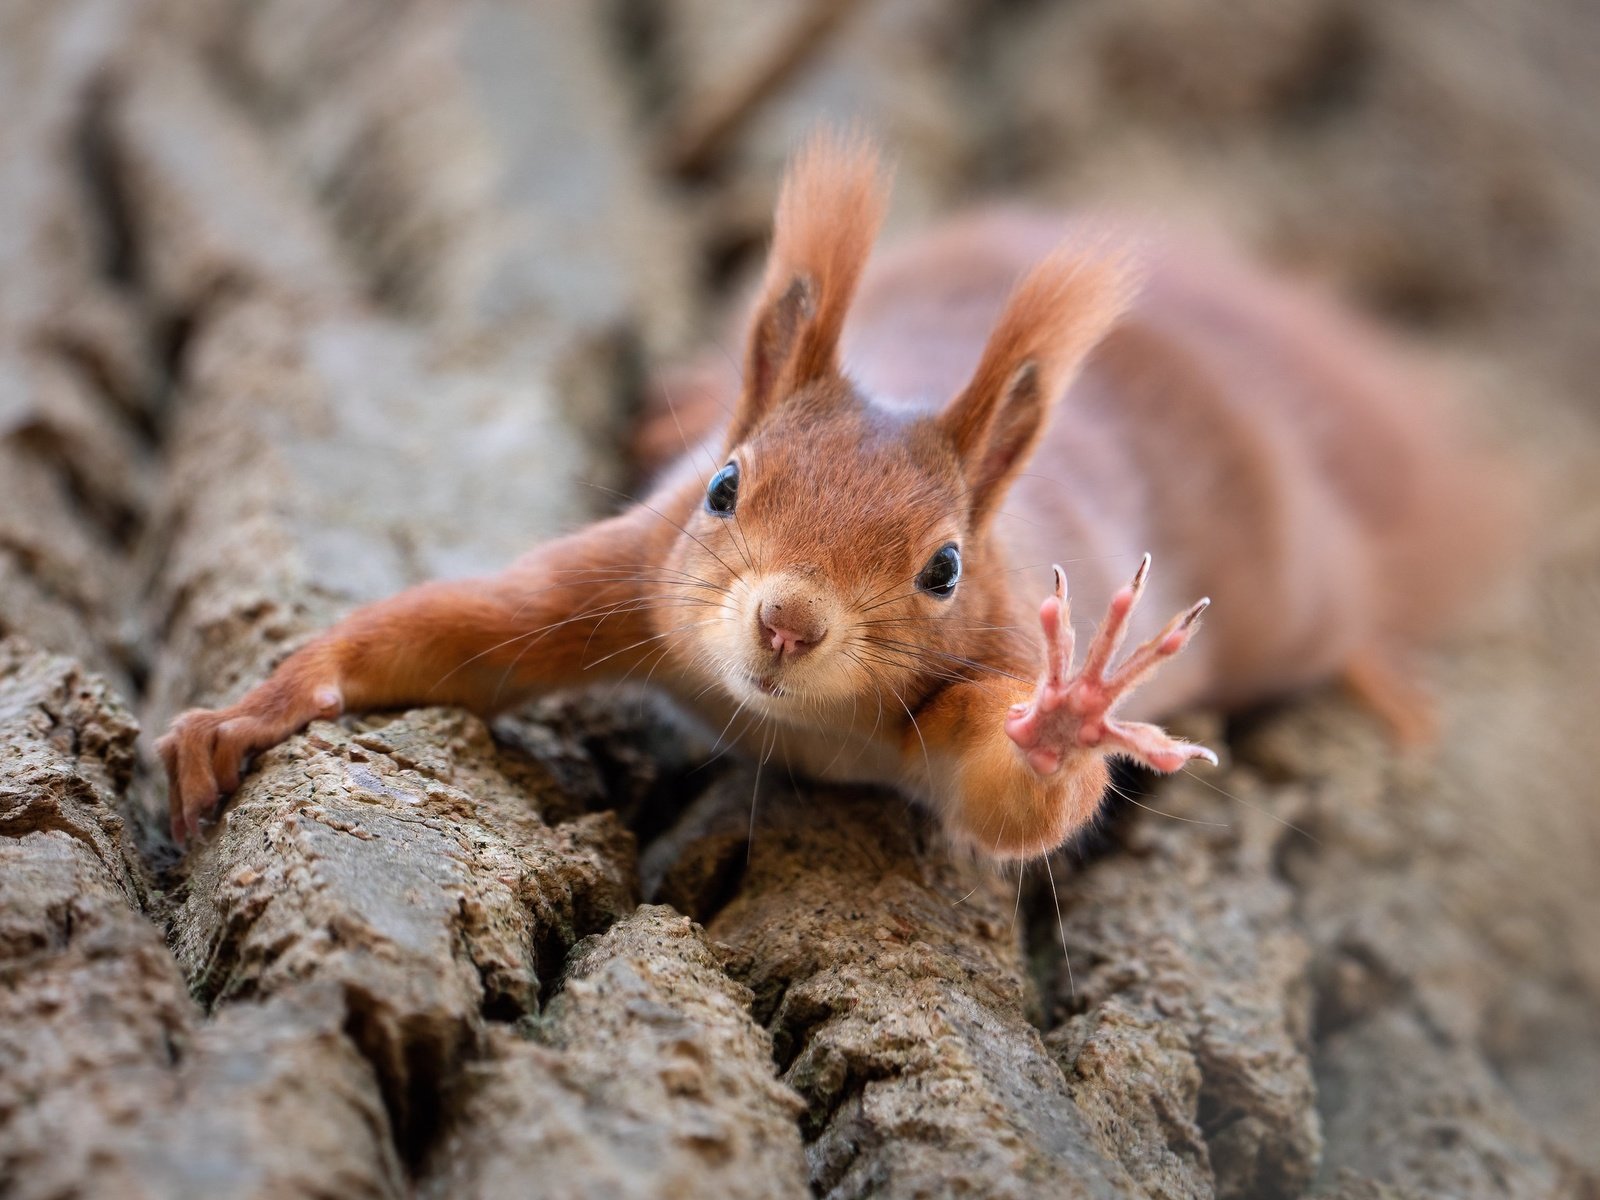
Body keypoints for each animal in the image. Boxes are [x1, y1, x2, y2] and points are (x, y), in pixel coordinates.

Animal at [156, 136, 1504, 857]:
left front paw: (1068, 720)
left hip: (1293, 589)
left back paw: (1382, 675)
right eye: (723, 487)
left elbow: (1018, 802)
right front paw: (251, 714)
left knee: (1343, 612)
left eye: (945, 567)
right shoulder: (623, 577)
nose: (786, 623)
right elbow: (452, 633)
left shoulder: (986, 666)